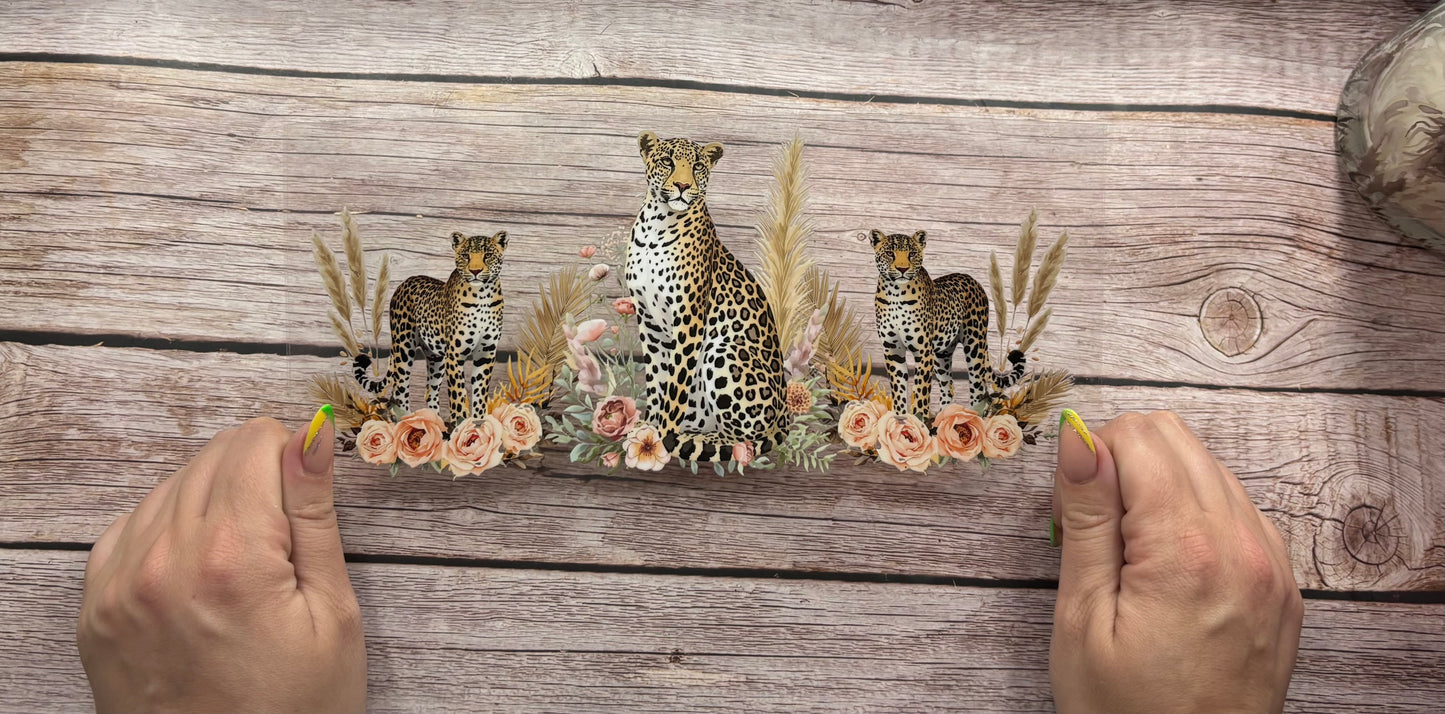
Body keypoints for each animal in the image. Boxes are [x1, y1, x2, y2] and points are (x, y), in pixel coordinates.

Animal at [353, 230, 507, 426]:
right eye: (466, 255)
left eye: (487, 255)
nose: (475, 271)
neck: (482, 297)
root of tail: (406, 281)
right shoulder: (455, 355)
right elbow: (458, 394)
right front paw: (460, 425)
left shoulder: (485, 353)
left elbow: (480, 393)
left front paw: (479, 424)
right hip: (404, 348)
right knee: (399, 390)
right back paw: (406, 422)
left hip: (436, 358)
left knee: (430, 391)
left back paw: (435, 423)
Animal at [624, 132, 789, 463]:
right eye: (667, 161)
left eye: (698, 166)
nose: (682, 186)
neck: (655, 228)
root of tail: (785, 413)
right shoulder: (648, 320)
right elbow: (657, 379)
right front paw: (650, 425)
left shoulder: (688, 321)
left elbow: (675, 386)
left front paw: (664, 436)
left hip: (723, 350)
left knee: (746, 439)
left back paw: (700, 438)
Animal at [870, 228, 1025, 418]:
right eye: (890, 254)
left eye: (912, 254)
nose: (902, 269)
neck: (895, 294)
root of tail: (972, 279)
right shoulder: (893, 351)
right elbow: (899, 390)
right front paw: (901, 419)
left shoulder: (923, 352)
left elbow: (920, 391)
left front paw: (918, 419)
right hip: (942, 353)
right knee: (948, 385)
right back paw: (944, 418)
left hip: (975, 345)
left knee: (978, 387)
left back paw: (974, 418)